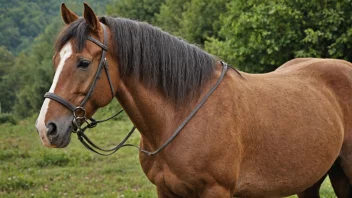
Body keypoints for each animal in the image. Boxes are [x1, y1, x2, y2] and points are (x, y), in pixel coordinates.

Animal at [35, 3, 352, 198]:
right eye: (56, 60)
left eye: (84, 63)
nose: (46, 128)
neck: (181, 113)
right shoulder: (166, 191)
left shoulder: (216, 191)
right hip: (314, 177)